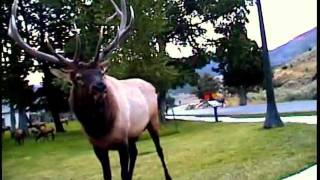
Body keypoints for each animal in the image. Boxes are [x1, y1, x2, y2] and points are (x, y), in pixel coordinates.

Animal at [8, 0, 172, 180]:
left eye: (101, 73)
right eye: (78, 77)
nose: (100, 86)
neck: (99, 128)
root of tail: (151, 85)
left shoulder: (122, 140)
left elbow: (122, 172)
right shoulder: (97, 147)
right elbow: (107, 174)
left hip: (152, 119)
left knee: (159, 149)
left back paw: (168, 175)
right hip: (134, 132)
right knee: (135, 152)